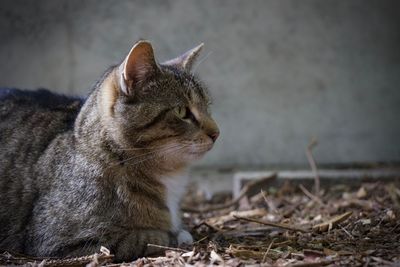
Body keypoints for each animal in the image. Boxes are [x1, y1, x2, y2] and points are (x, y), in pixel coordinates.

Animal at [0, 40, 219, 262]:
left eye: (207, 107)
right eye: (182, 111)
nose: (216, 133)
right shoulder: (57, 240)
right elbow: (146, 238)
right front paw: (174, 235)